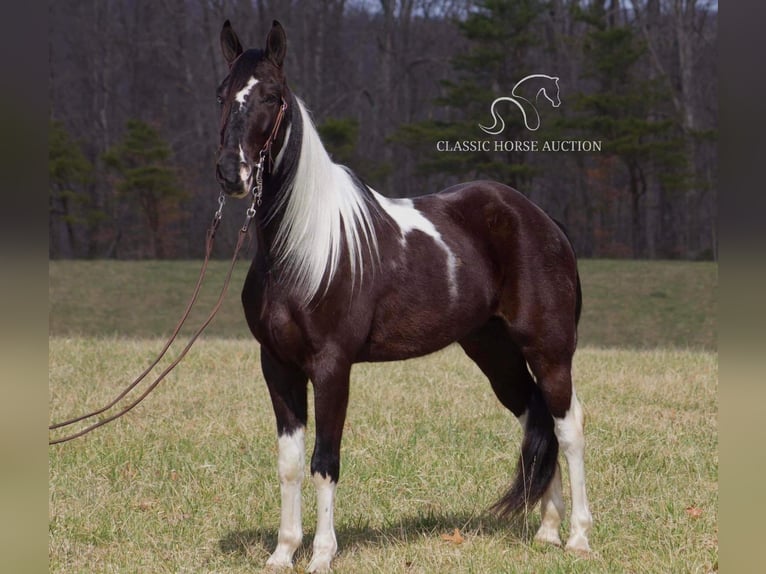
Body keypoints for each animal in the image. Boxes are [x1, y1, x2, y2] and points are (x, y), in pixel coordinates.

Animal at [214, 20, 592, 572]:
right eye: (222, 93)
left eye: (271, 96)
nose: (232, 173)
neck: (301, 248)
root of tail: (542, 220)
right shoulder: (277, 365)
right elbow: (289, 464)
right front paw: (283, 552)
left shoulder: (332, 366)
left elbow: (324, 461)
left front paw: (322, 555)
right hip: (494, 352)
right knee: (537, 416)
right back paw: (546, 532)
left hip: (549, 348)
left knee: (568, 426)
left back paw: (579, 536)